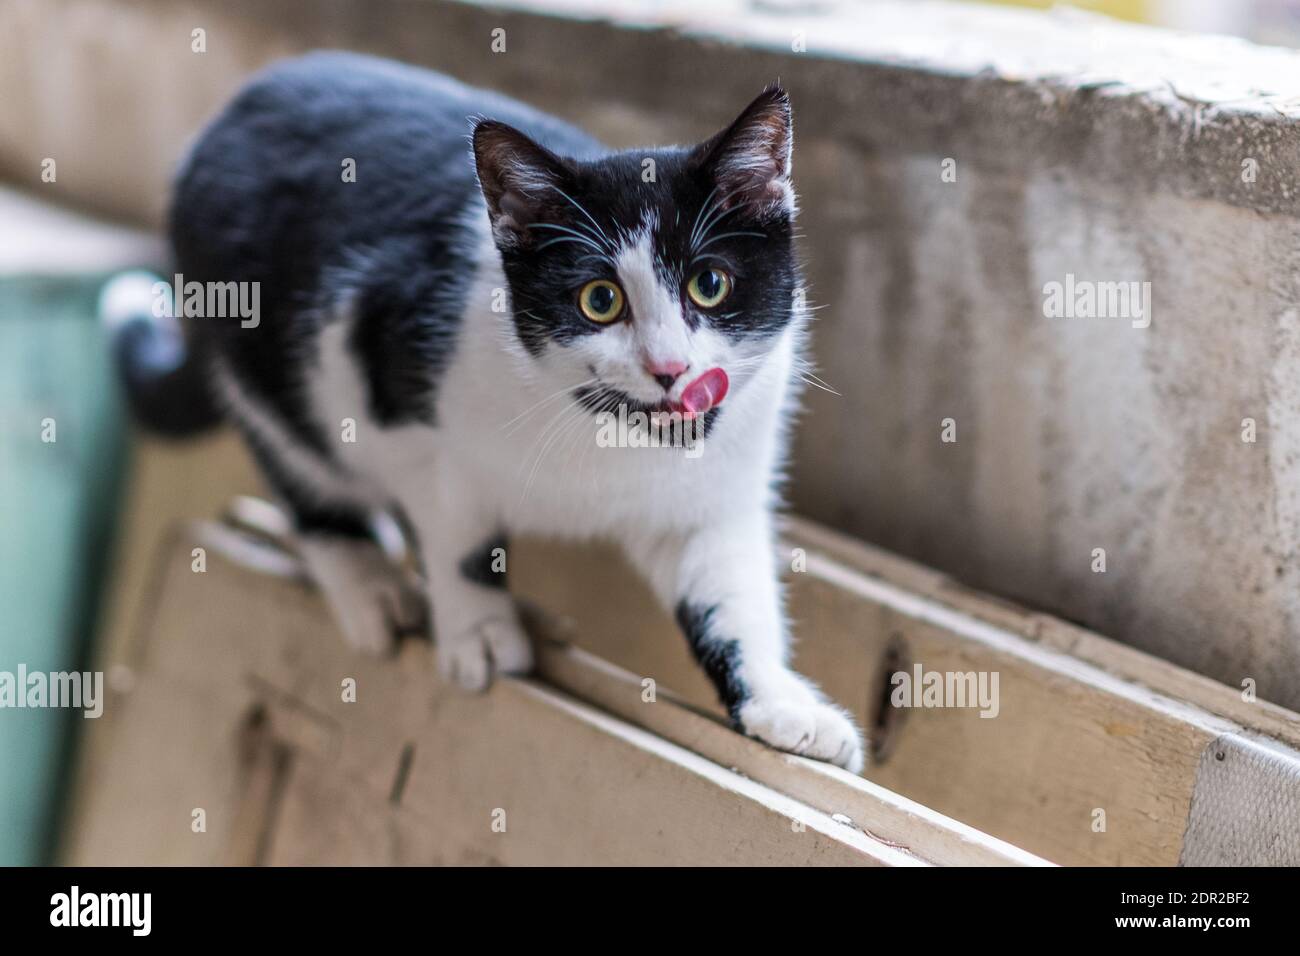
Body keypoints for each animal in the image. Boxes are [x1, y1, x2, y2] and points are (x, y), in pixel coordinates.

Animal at [111, 50, 863, 770]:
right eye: (599, 299)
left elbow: (730, 590)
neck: (608, 433)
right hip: (255, 356)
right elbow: (455, 531)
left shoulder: (720, 486)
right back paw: (369, 582)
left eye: (710, 284)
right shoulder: (374, 366)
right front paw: (477, 629)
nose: (670, 368)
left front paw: (783, 705)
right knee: (298, 461)